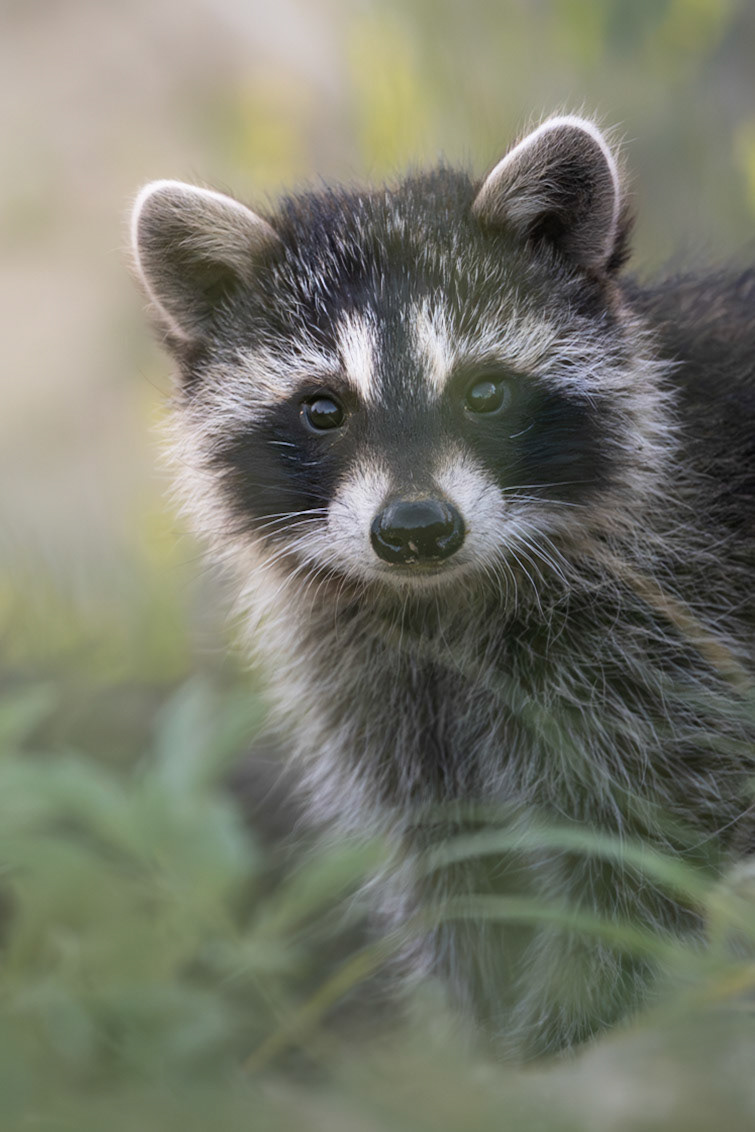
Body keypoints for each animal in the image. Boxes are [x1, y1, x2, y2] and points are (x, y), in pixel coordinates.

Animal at [130, 117, 755, 1058]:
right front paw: (487, 1039)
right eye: (323, 409)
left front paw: (565, 1025)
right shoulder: (384, 690)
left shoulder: (672, 630)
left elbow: (642, 850)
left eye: (484, 391)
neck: (443, 597)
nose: (417, 529)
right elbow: (457, 867)